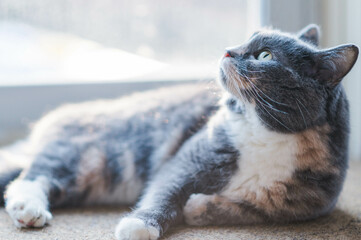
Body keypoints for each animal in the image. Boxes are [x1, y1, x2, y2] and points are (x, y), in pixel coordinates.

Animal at [0, 24, 356, 240]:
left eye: (264, 54)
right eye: (246, 39)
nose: (228, 49)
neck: (268, 135)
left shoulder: (303, 205)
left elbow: (249, 208)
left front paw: (199, 209)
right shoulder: (189, 157)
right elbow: (166, 189)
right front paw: (140, 224)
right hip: (90, 156)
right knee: (34, 175)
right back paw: (28, 209)